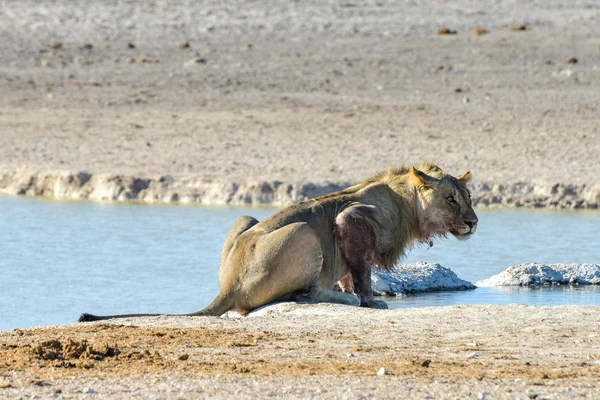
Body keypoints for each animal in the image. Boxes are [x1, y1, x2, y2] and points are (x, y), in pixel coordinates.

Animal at [78, 162, 478, 322]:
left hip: (245, 218)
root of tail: (229, 285)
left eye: (469, 197)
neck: (406, 202)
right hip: (304, 232)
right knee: (304, 293)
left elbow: (351, 268)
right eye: (451, 200)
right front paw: (368, 300)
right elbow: (360, 271)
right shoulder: (353, 217)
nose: (474, 223)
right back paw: (341, 298)